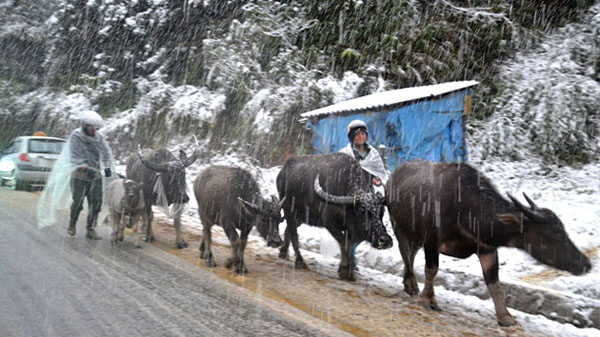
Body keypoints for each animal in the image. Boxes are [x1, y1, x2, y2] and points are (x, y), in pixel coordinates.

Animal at [384, 160, 592, 326]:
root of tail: (393, 176)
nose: (586, 264)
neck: (465, 210)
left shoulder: (487, 249)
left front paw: (505, 317)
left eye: (563, 230)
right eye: (552, 235)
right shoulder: (432, 242)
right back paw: (411, 284)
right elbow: (431, 270)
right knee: (405, 253)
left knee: (411, 254)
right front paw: (429, 300)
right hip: (399, 227)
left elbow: (494, 284)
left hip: (414, 235)